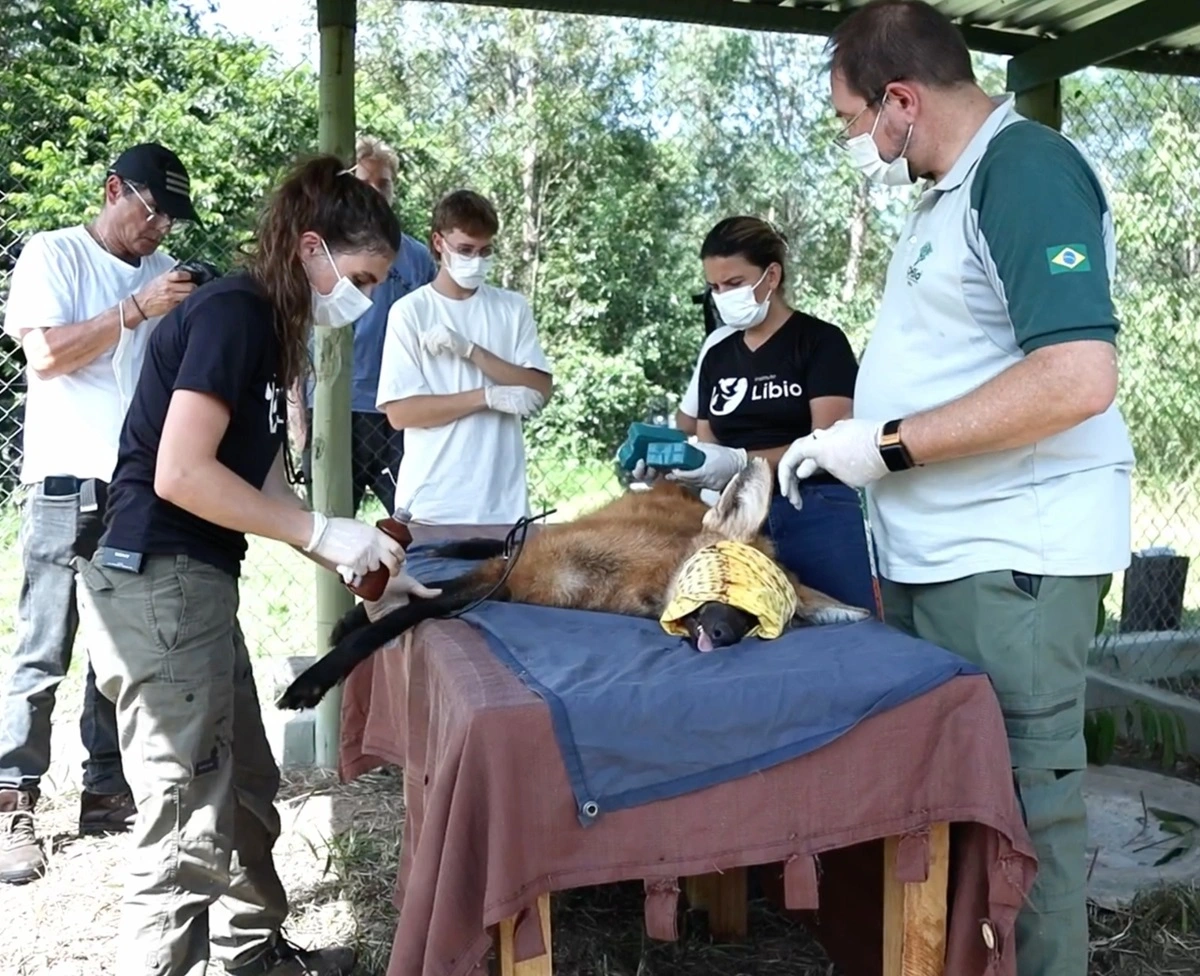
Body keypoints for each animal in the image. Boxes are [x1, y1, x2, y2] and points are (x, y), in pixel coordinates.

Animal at [276, 456, 868, 705]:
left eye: (757, 621)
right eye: (727, 585)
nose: (722, 635)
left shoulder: (513, 583)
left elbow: (416, 606)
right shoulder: (513, 574)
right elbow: (404, 612)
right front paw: (319, 672)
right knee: (513, 537)